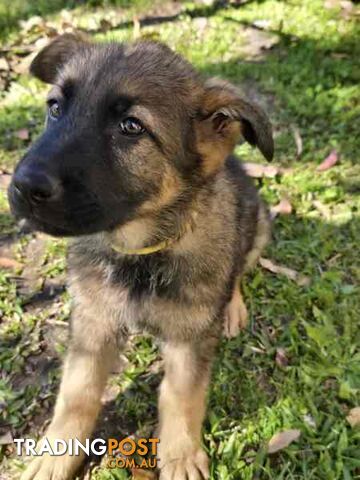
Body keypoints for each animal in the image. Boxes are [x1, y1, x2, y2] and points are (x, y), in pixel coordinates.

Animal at [8, 34, 272, 480]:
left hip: (260, 223)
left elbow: (182, 397)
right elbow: (76, 393)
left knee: (236, 270)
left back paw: (232, 308)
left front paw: (181, 456)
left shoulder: (188, 338)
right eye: (55, 107)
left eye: (131, 127)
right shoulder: (93, 323)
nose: (23, 187)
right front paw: (56, 453)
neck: (140, 251)